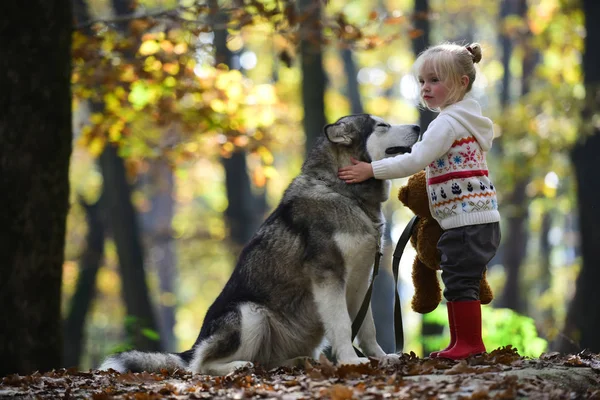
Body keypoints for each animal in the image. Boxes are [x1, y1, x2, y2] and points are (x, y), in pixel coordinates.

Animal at [101, 115, 420, 376]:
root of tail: (192, 346)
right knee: (200, 366)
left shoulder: (361, 281)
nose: (418, 126)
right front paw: (351, 361)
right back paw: (237, 366)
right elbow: (342, 324)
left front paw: (381, 356)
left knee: (264, 361)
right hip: (250, 314)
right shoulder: (329, 276)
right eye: (382, 125)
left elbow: (367, 328)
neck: (345, 194)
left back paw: (296, 362)